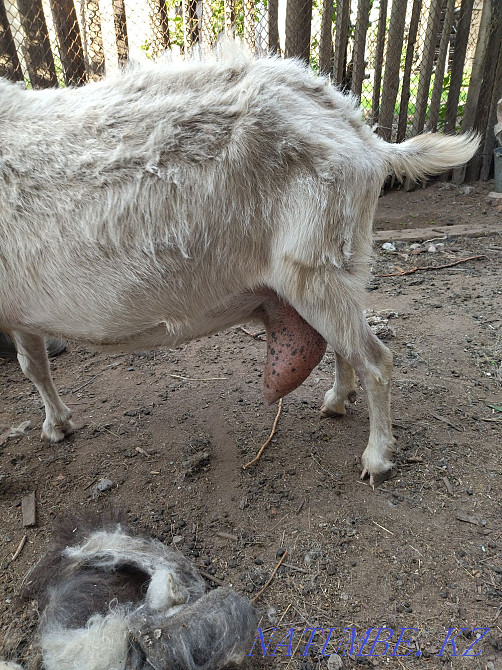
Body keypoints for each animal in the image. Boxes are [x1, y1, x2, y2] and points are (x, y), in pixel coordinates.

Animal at [0, 46, 479, 484]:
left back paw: (377, 457)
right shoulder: (21, 312)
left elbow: (31, 365)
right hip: (336, 265)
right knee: (346, 344)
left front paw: (55, 425)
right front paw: (58, 424)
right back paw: (336, 401)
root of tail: (364, 136)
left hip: (313, 268)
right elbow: (33, 364)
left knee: (376, 361)